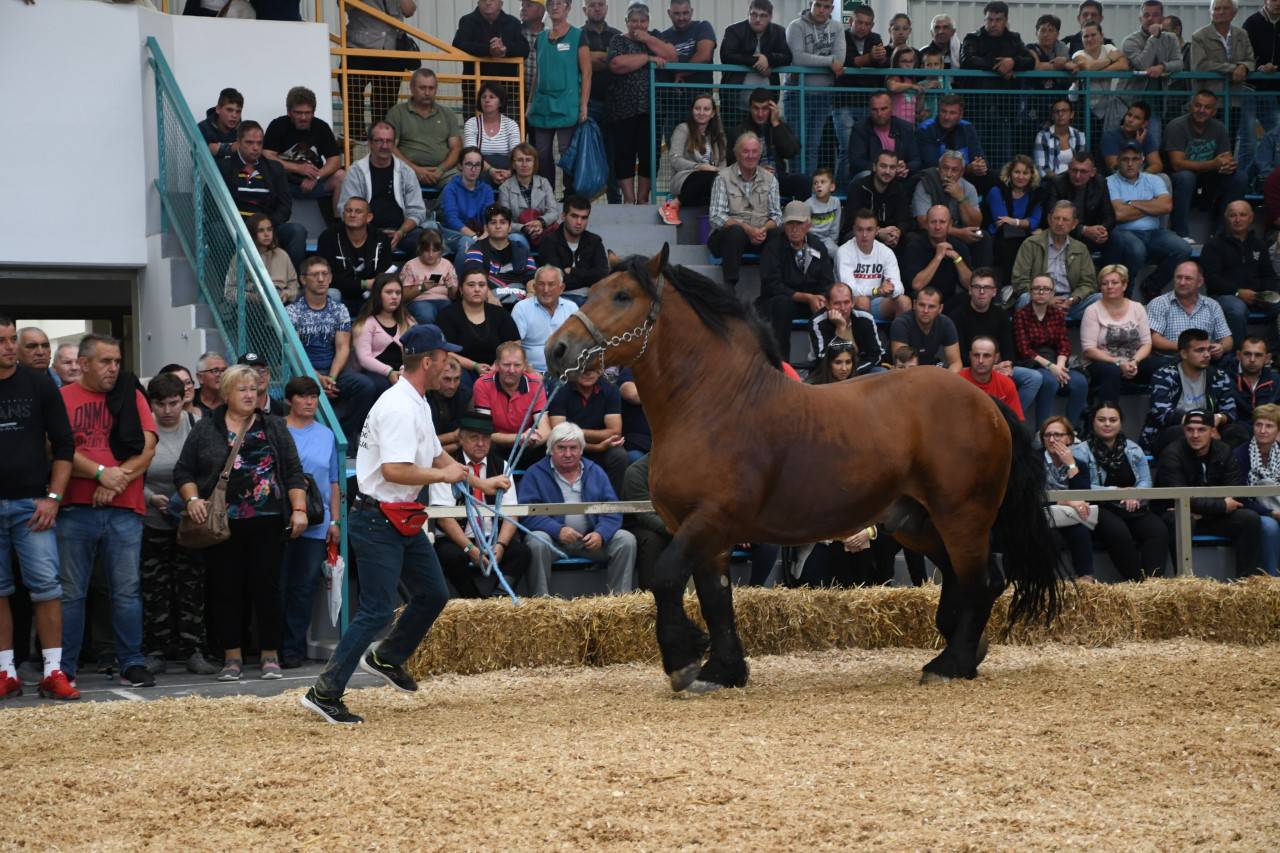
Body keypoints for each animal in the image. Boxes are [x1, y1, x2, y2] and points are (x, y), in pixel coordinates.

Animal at [545, 247, 1054, 691]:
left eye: (621, 296)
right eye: (592, 291)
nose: (556, 349)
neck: (712, 403)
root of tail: (986, 402)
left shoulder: (710, 519)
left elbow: (665, 578)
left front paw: (684, 659)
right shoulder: (706, 534)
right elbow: (715, 597)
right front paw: (723, 670)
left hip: (962, 515)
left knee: (980, 580)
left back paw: (953, 663)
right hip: (915, 520)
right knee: (968, 578)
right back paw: (956, 652)